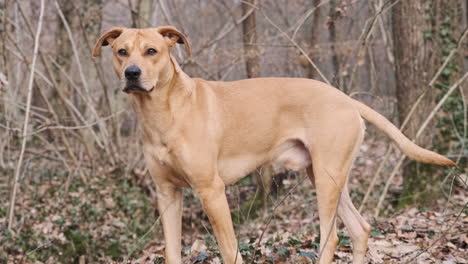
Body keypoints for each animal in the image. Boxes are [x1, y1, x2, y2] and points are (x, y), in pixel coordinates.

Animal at [93, 26, 456, 264]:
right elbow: (171, 251)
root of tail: (344, 98)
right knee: (359, 229)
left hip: (326, 179)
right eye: (121, 51)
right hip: (324, 175)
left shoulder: (211, 191)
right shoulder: (167, 194)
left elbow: (230, 250)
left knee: (331, 237)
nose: (132, 73)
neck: (163, 111)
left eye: (152, 51)